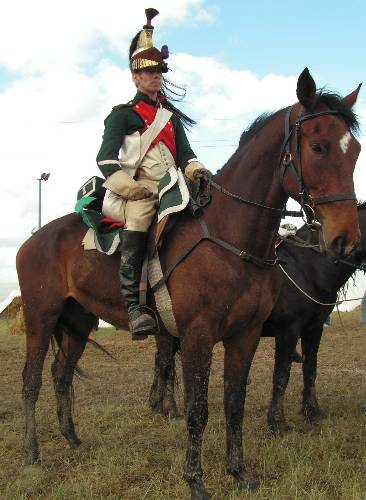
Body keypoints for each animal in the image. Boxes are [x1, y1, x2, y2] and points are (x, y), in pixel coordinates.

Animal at [16, 68, 360, 498]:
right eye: (317, 146)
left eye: (355, 150)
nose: (345, 240)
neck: (232, 239)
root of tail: (33, 239)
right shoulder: (199, 336)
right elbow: (199, 408)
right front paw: (196, 480)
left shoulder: (246, 335)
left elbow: (234, 402)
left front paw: (239, 473)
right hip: (41, 319)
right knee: (31, 382)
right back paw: (33, 453)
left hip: (78, 322)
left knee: (61, 375)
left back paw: (72, 439)